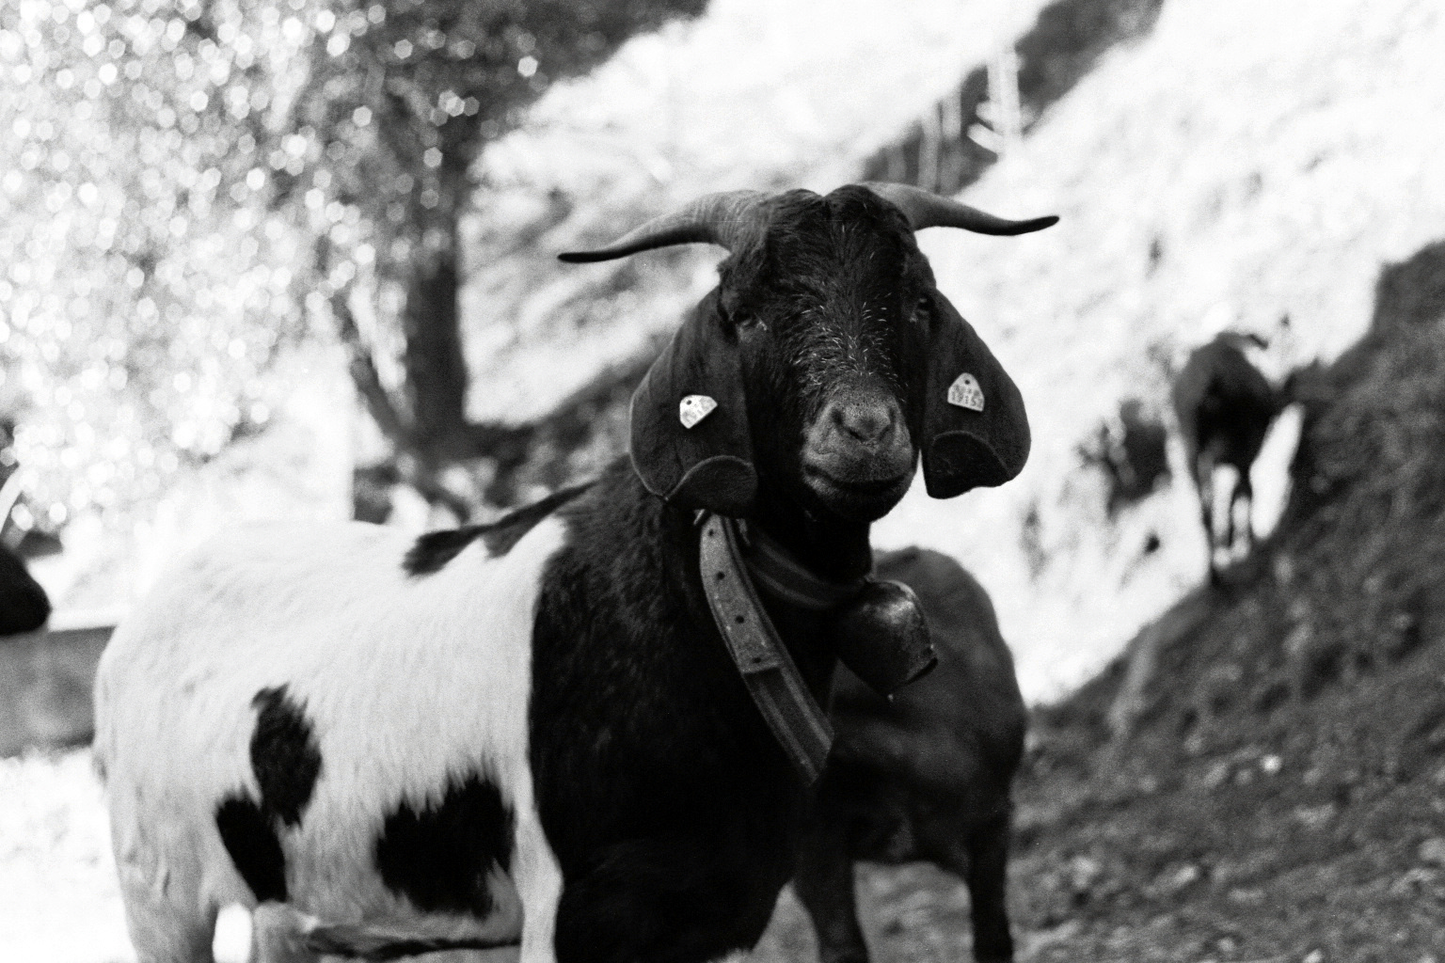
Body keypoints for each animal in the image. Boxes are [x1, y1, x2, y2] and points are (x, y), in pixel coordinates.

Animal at [1170, 331, 1281, 586]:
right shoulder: (1245, 452)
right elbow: (1245, 490)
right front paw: (1240, 537)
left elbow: (1240, 490)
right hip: (1227, 448)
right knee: (1225, 494)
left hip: (1192, 449)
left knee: (1206, 510)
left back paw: (1215, 575)